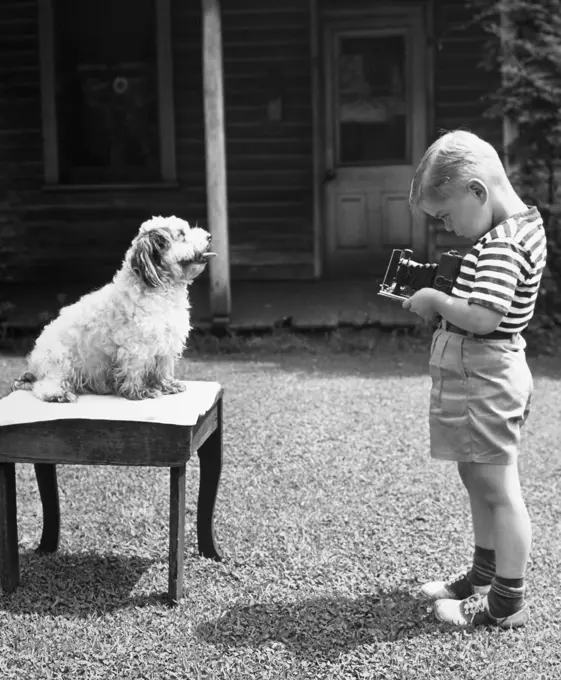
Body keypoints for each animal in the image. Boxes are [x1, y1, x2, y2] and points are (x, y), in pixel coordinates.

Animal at [13, 215, 214, 402]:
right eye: (181, 234)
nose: (209, 236)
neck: (160, 289)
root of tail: (33, 366)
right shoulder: (135, 346)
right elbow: (135, 370)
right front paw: (140, 391)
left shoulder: (166, 341)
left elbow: (163, 368)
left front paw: (167, 385)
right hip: (60, 361)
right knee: (43, 385)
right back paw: (58, 394)